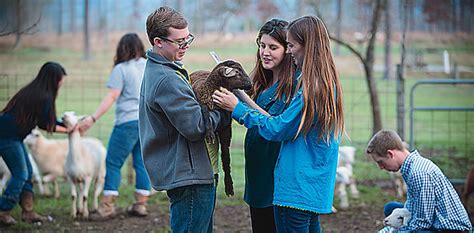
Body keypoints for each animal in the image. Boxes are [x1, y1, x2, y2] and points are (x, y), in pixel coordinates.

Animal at [191, 59, 254, 196]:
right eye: (237, 73)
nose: (250, 85)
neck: (208, 89)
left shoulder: (226, 129)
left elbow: (226, 157)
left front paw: (229, 185)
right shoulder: (200, 101)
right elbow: (204, 110)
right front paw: (209, 135)